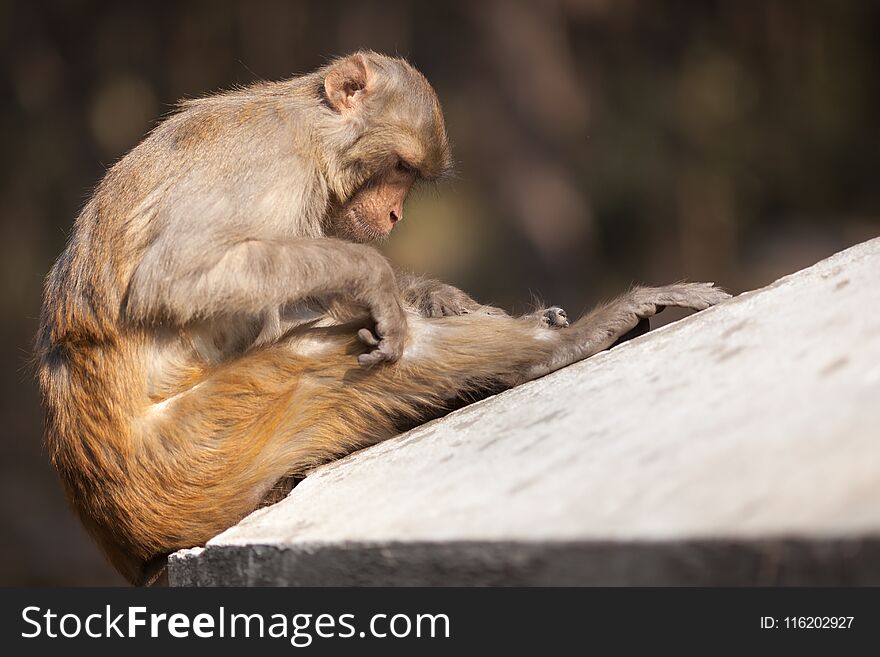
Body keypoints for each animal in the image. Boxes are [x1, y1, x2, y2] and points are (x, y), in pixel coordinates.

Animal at [34, 52, 728, 584]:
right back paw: (568, 342)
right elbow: (176, 278)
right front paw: (376, 278)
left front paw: (440, 295)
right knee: (326, 359)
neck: (309, 127)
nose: (394, 216)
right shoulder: (267, 168)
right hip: (197, 453)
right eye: (397, 168)